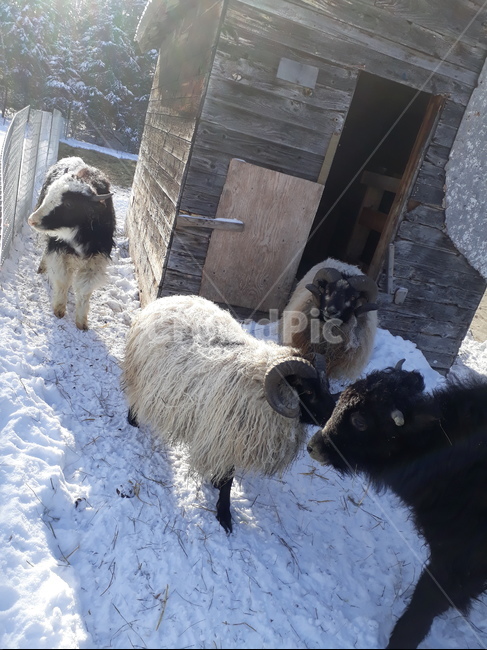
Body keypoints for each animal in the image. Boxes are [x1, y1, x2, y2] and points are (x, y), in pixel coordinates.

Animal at [28, 156, 115, 330]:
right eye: (50, 194)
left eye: (69, 204)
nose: (32, 220)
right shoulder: (58, 250)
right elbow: (62, 279)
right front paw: (59, 309)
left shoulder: (96, 259)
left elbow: (84, 289)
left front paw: (81, 322)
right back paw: (42, 267)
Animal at [122, 294, 336, 533]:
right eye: (308, 391)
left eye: (326, 385)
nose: (333, 415)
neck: (260, 389)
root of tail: (168, 299)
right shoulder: (225, 438)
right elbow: (228, 480)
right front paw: (224, 514)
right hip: (141, 374)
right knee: (135, 395)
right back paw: (133, 420)